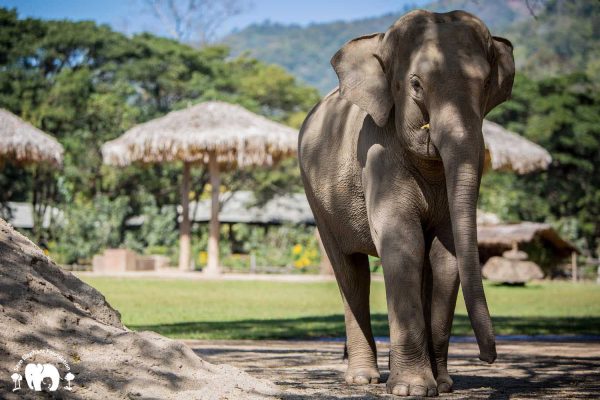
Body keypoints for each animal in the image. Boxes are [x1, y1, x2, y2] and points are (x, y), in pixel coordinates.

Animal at [298, 9, 512, 396]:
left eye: (487, 83)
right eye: (416, 85)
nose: (488, 357)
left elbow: (445, 254)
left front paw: (441, 386)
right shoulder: (378, 153)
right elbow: (403, 243)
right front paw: (411, 390)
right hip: (317, 199)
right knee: (349, 270)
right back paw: (363, 379)